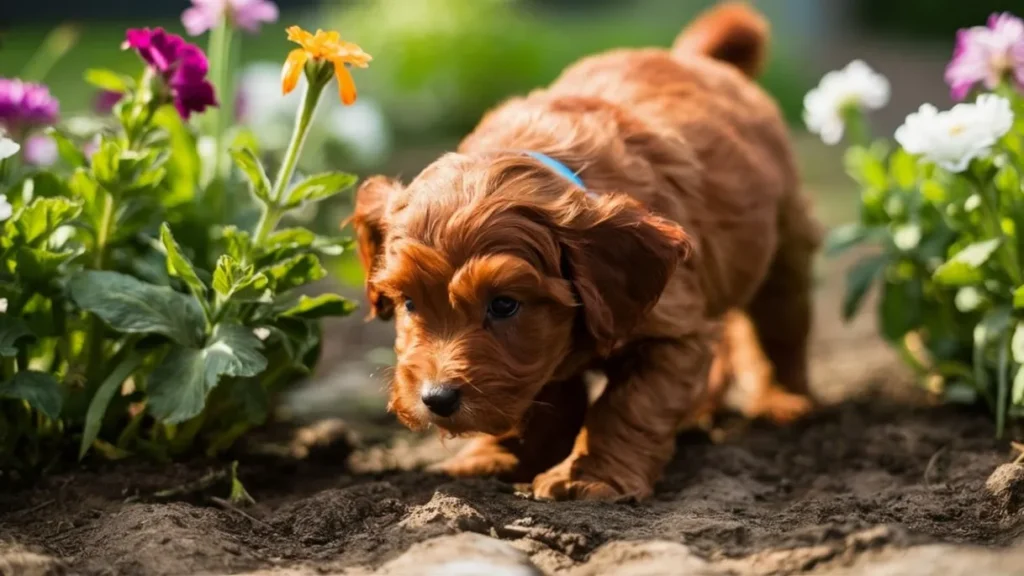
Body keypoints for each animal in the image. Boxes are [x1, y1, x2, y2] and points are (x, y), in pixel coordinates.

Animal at [352, 2, 823, 498]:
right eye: (408, 303)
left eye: (504, 305)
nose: (436, 398)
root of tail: (695, 59)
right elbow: (542, 398)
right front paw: (493, 458)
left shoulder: (673, 331)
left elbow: (627, 407)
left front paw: (589, 478)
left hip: (785, 245)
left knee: (778, 328)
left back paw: (782, 401)